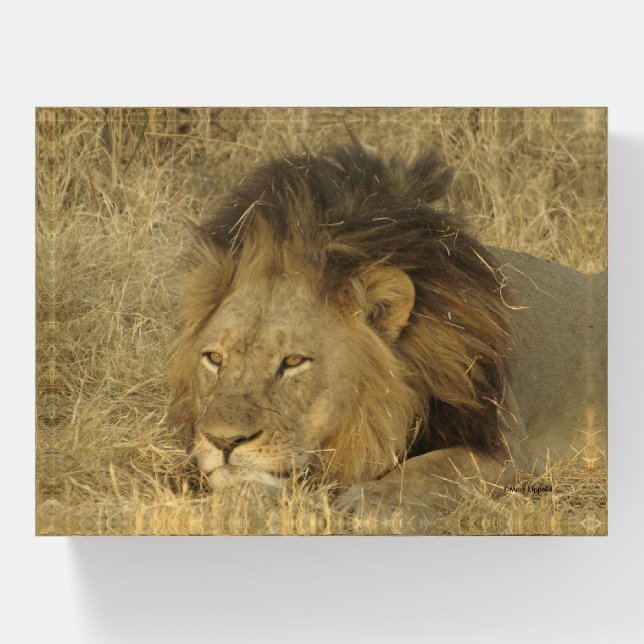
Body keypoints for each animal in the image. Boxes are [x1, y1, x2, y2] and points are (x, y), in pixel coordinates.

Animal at [167, 142, 607, 514]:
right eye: (214, 358)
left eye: (292, 362)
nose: (224, 441)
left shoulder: (506, 448)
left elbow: (431, 468)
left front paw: (365, 502)